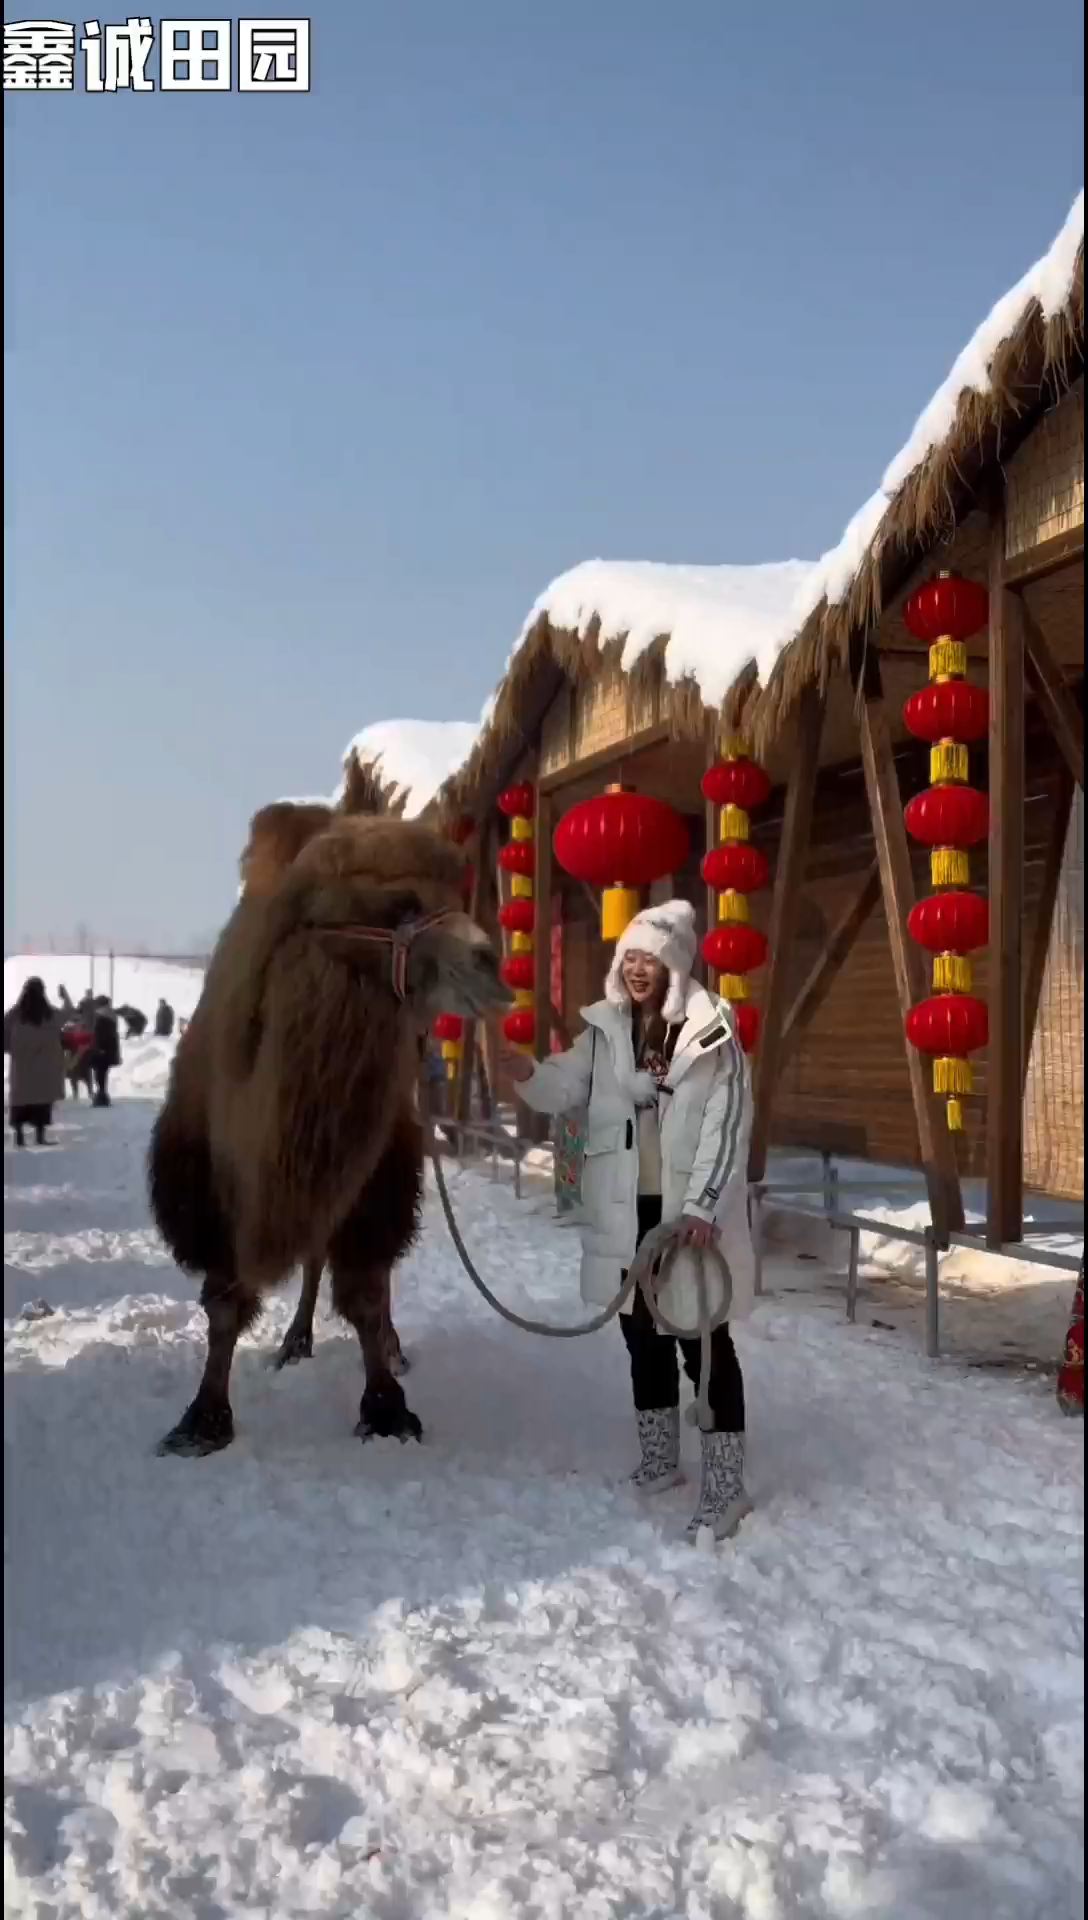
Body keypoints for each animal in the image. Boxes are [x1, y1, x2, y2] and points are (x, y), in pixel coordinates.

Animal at [148, 775, 510, 1451]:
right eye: (401, 906)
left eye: (457, 896)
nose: (490, 962)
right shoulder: (215, 1191)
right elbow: (224, 1300)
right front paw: (202, 1419)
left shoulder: (374, 1171)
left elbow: (366, 1290)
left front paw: (386, 1407)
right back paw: (296, 1340)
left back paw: (388, 1347)